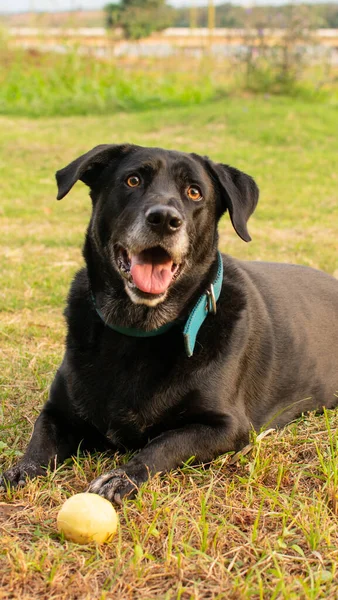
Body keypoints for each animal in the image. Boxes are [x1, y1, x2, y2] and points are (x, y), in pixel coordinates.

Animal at [0, 144, 338, 502]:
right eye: (132, 180)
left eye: (194, 192)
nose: (164, 219)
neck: (138, 329)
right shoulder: (57, 411)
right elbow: (39, 442)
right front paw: (20, 471)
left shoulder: (227, 427)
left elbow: (165, 442)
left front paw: (123, 476)